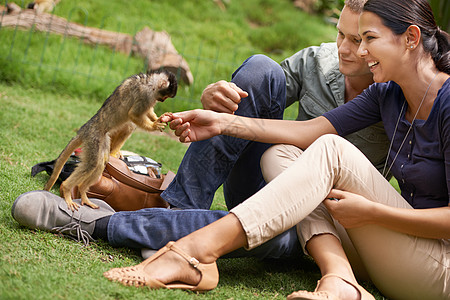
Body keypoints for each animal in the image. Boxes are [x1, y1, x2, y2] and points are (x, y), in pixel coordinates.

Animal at [44, 70, 178, 211]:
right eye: (165, 96)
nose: (162, 100)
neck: (150, 82)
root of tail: (85, 128)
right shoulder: (146, 95)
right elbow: (134, 115)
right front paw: (154, 125)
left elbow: (147, 111)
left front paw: (159, 117)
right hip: (94, 137)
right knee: (92, 164)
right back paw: (66, 189)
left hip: (102, 139)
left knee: (101, 162)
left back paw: (83, 193)